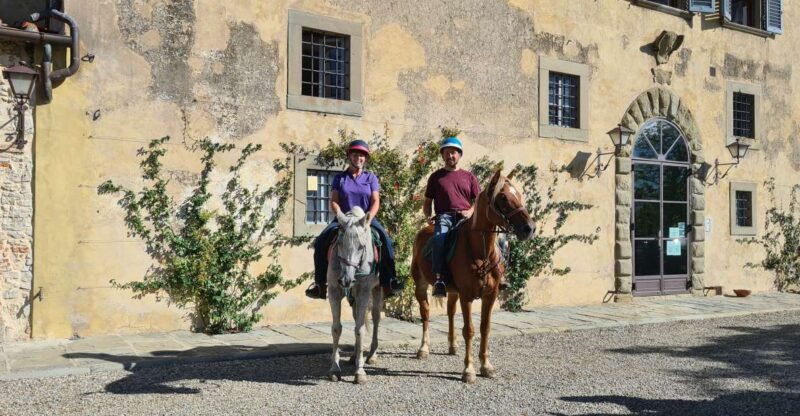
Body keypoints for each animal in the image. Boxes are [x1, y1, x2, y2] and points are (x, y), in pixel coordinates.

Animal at [327, 206, 383, 384]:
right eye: (339, 243)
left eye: (361, 246)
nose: (346, 280)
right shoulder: (334, 291)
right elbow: (336, 329)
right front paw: (334, 368)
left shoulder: (364, 291)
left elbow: (361, 330)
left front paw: (360, 371)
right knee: (358, 317)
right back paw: (354, 355)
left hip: (377, 290)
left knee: (376, 317)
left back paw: (372, 355)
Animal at [410, 169, 535, 383]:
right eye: (503, 198)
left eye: (518, 194)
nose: (529, 228)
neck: (479, 251)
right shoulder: (467, 295)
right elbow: (469, 330)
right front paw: (468, 370)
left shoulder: (490, 295)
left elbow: (485, 328)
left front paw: (486, 366)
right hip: (421, 284)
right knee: (425, 314)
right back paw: (423, 349)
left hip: (452, 290)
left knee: (450, 311)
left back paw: (452, 346)